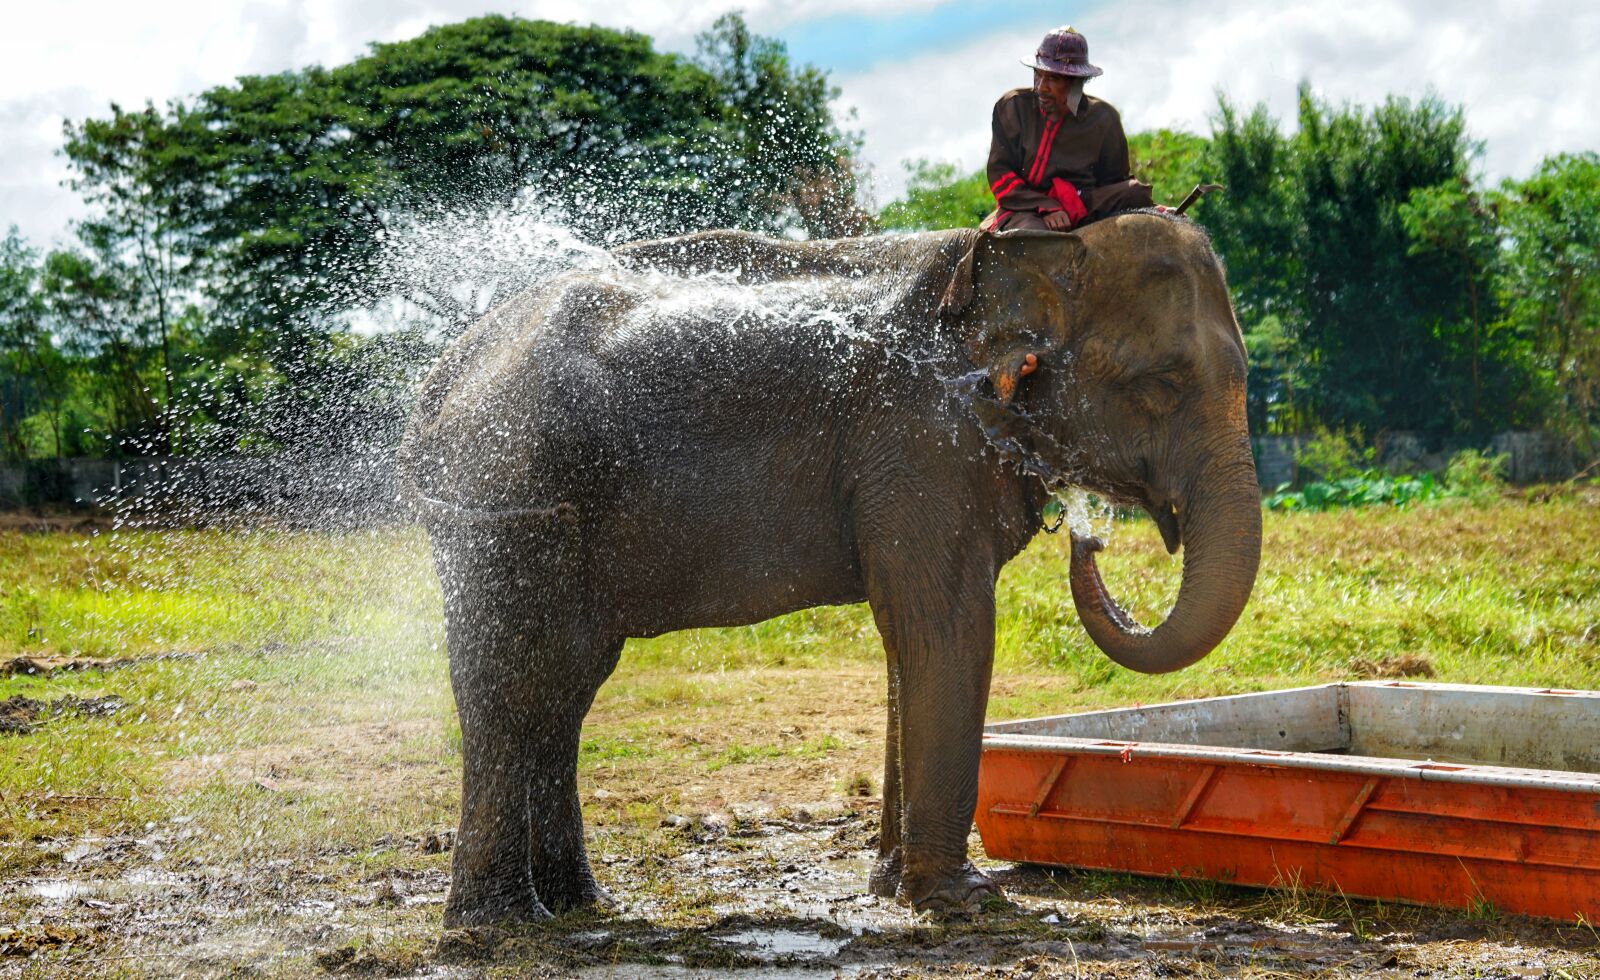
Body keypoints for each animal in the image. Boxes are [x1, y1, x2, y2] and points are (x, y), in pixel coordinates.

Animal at [400, 214, 1260, 928]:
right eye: (1161, 384)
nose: (1088, 540)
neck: (1032, 252)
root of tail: (439, 380)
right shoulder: (920, 438)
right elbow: (945, 624)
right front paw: (967, 904)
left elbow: (909, 640)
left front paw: (893, 891)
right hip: (508, 487)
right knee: (514, 679)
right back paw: (500, 924)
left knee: (565, 686)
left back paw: (582, 905)